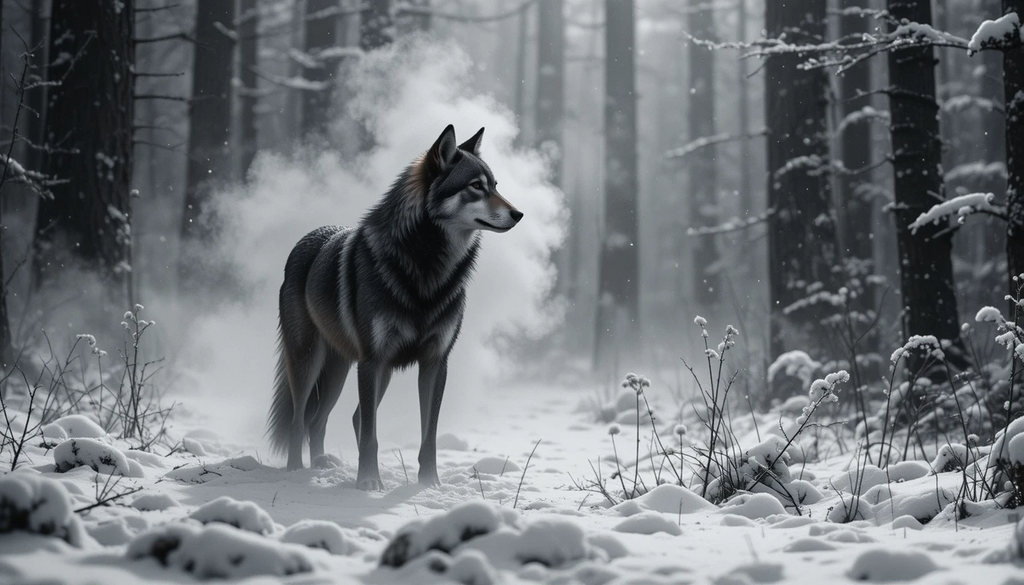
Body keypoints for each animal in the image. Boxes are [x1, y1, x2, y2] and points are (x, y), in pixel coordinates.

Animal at [267, 125, 522, 490]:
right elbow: (371, 435)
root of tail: (306, 239)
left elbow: (428, 435)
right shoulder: (371, 360)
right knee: (303, 420)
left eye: (496, 185)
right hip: (312, 363)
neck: (428, 271)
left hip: (348, 372)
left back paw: (321, 467)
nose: (519, 214)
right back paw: (296, 472)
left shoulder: (435, 362)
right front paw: (368, 483)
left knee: (329, 420)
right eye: (476, 186)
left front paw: (429, 483)